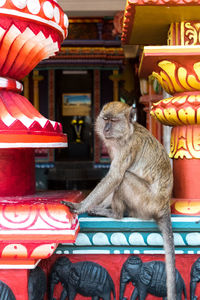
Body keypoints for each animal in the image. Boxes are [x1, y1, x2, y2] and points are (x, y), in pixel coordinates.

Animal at [62, 101, 175, 300]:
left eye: (113, 121)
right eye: (105, 119)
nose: (106, 128)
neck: (127, 133)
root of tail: (163, 205)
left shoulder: (127, 147)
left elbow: (115, 177)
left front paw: (80, 206)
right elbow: (113, 179)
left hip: (145, 201)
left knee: (125, 178)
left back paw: (115, 214)